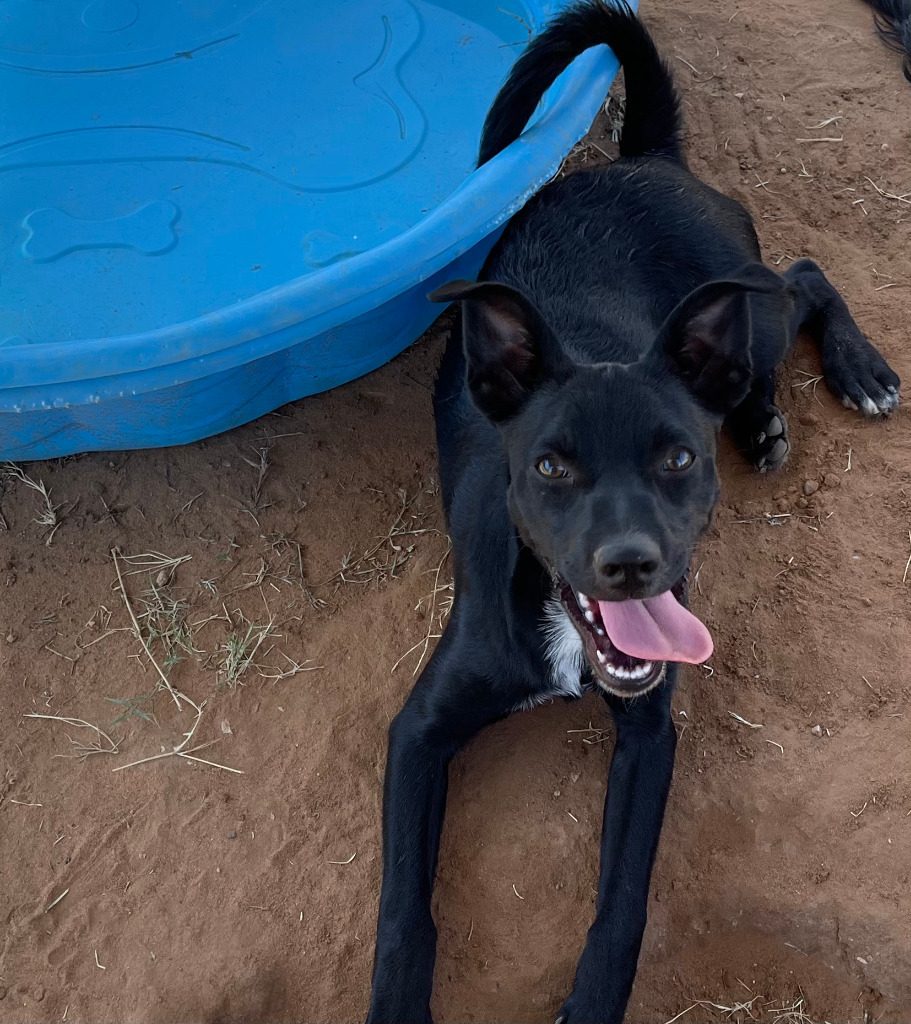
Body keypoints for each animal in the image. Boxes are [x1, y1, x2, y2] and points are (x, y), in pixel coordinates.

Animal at [366, 4, 896, 1019]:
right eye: (548, 466)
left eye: (678, 459)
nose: (630, 564)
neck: (564, 631)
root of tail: (644, 157)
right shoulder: (418, 730)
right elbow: (404, 908)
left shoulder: (649, 736)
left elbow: (621, 901)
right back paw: (772, 414)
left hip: (742, 309)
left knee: (803, 277)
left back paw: (852, 375)